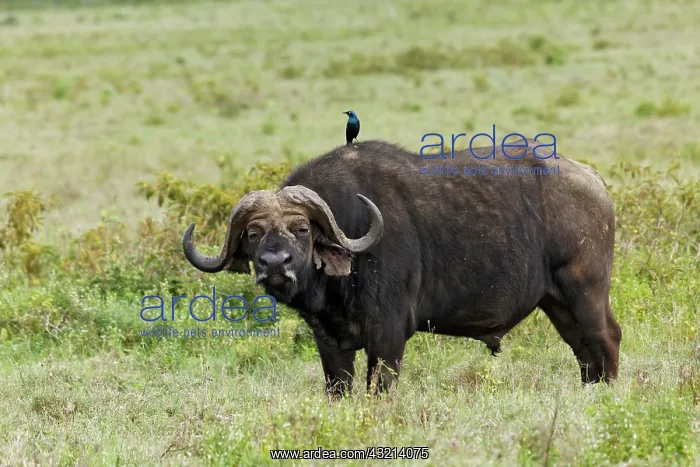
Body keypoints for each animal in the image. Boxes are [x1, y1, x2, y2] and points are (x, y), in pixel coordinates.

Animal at [182, 140, 622, 396]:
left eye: (302, 228)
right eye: (254, 233)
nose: (275, 263)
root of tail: (594, 181)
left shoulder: (389, 336)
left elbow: (379, 389)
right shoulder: (329, 343)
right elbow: (338, 388)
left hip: (585, 290)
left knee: (606, 338)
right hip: (557, 303)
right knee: (583, 350)